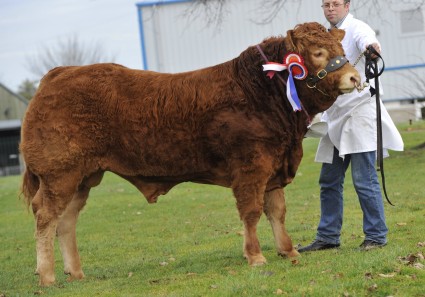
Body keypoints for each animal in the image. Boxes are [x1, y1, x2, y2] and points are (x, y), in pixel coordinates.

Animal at [19, 22, 358, 286]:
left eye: (339, 46)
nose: (354, 77)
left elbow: (276, 211)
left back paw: (75, 273)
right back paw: (46, 276)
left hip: (83, 177)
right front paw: (256, 256)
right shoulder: (250, 167)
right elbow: (250, 212)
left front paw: (288, 250)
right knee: (46, 217)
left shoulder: (273, 166)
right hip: (59, 174)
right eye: (318, 52)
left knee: (66, 221)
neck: (262, 92)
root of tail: (59, 74)